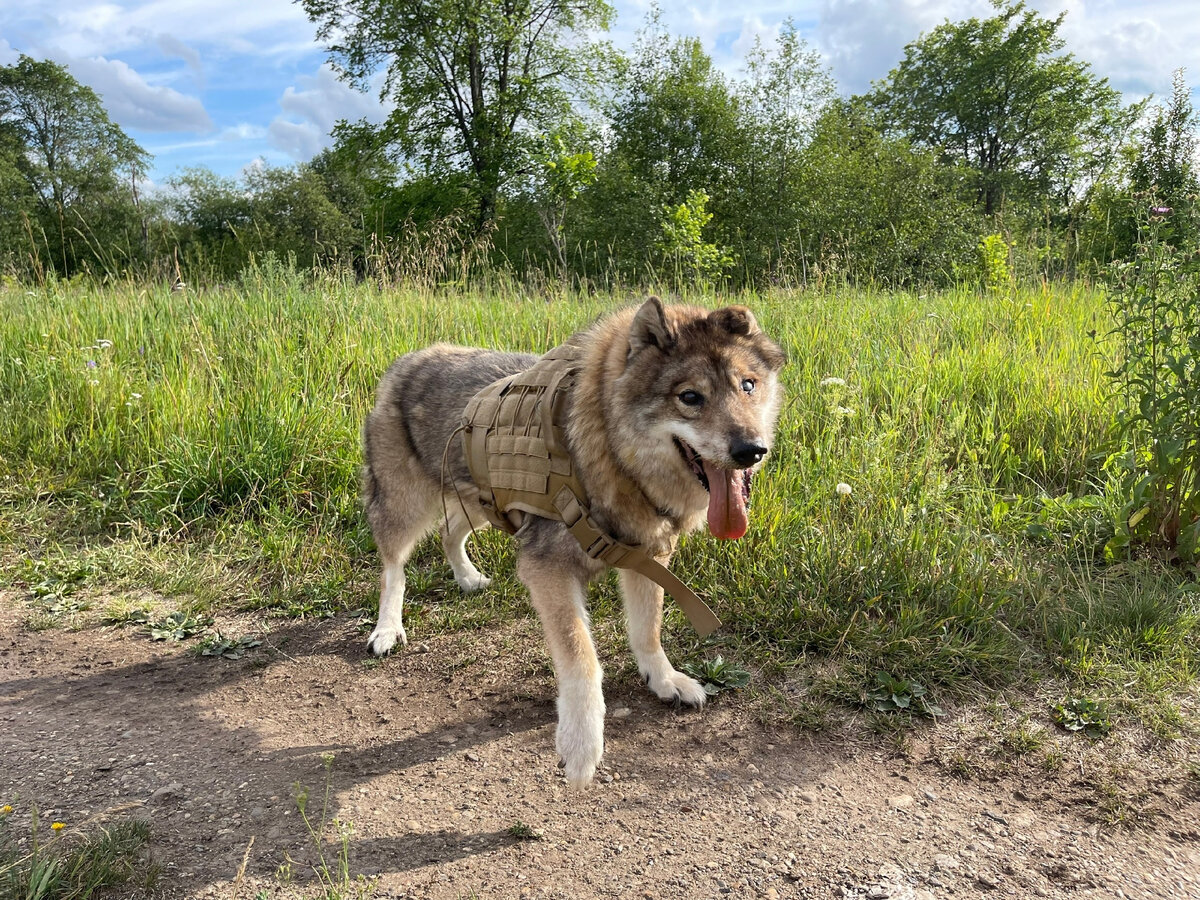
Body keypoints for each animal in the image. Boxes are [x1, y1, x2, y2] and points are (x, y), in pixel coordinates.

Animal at [360, 297, 782, 787]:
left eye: (748, 385)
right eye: (690, 397)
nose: (752, 450)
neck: (609, 456)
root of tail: (409, 359)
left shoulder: (649, 559)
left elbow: (648, 630)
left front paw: (664, 681)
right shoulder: (549, 571)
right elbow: (582, 657)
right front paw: (581, 747)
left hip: (480, 504)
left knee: (449, 532)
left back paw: (467, 579)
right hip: (403, 507)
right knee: (393, 569)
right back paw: (387, 629)